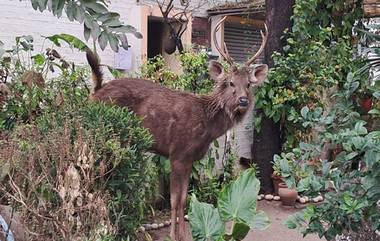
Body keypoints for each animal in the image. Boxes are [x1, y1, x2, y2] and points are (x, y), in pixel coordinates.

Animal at [87, 16, 268, 240]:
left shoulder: (189, 159)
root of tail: (95, 93)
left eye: (249, 84)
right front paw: (174, 235)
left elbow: (184, 199)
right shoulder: (177, 154)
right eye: (230, 83)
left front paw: (183, 234)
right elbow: (174, 200)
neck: (207, 126)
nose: (243, 101)